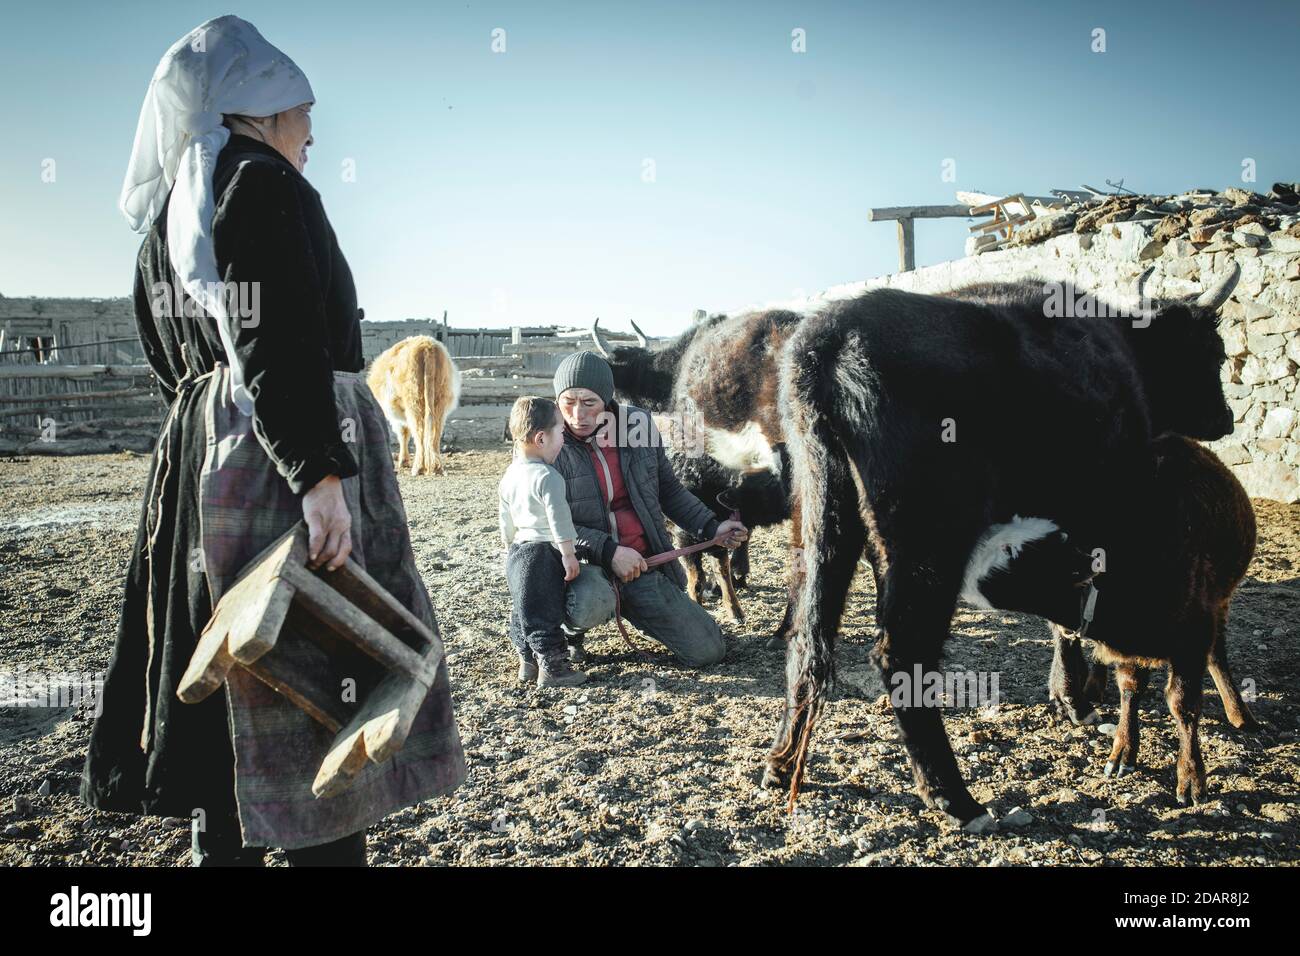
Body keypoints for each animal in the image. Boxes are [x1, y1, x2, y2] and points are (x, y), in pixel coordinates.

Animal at [366, 335, 462, 476]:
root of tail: (427, 345)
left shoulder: (396, 416)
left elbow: (403, 433)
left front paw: (403, 461)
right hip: (439, 402)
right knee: (435, 434)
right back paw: (437, 467)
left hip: (414, 403)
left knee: (419, 432)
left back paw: (419, 468)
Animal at [759, 265, 1237, 827]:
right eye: (1214, 352)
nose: (1226, 417)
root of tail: (829, 338)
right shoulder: (1095, 503)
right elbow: (1074, 605)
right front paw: (1076, 697)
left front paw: (1068, 697)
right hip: (931, 542)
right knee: (900, 652)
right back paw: (953, 797)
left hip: (822, 515)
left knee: (808, 635)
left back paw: (781, 762)